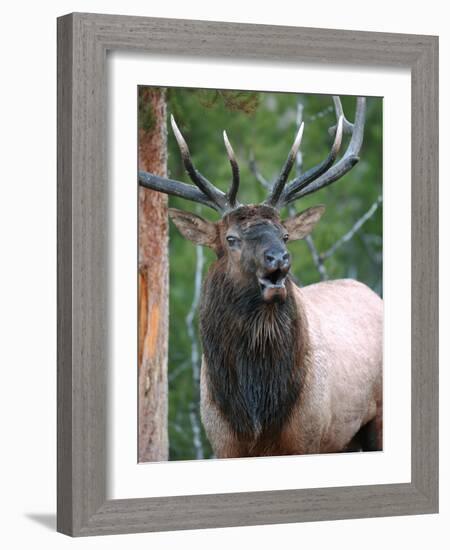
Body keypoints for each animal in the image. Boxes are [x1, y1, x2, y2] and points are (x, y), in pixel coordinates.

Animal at [139, 97, 382, 460]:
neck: (256, 413)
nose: (279, 259)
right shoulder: (223, 444)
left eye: (284, 235)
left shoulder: (307, 439)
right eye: (231, 239)